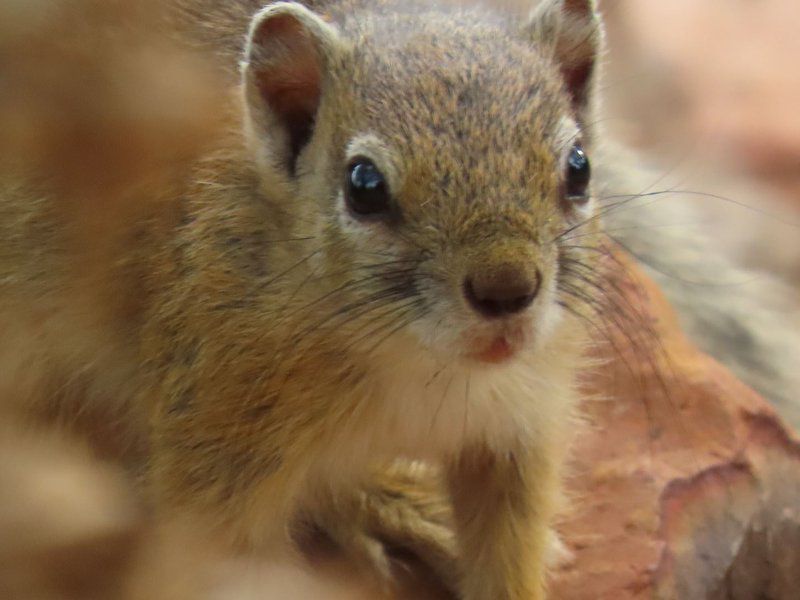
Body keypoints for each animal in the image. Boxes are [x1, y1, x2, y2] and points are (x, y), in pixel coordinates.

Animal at [0, 0, 796, 596]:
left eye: (578, 167)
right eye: (364, 185)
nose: (507, 289)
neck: (418, 366)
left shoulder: (520, 432)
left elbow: (509, 549)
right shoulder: (216, 441)